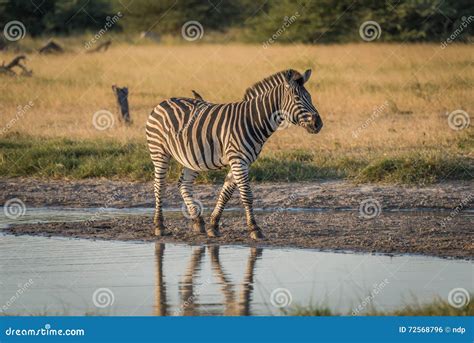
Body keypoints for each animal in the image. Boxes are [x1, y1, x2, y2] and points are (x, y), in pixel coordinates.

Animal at [145, 68, 322, 241]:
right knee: (159, 186)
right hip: (159, 151)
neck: (253, 121)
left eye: (310, 97)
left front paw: (213, 226)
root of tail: (165, 101)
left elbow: (226, 194)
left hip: (191, 157)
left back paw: (198, 221)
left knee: (183, 184)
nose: (318, 124)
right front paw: (254, 229)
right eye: (297, 98)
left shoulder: (242, 161)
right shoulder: (238, 160)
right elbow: (247, 195)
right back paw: (159, 226)